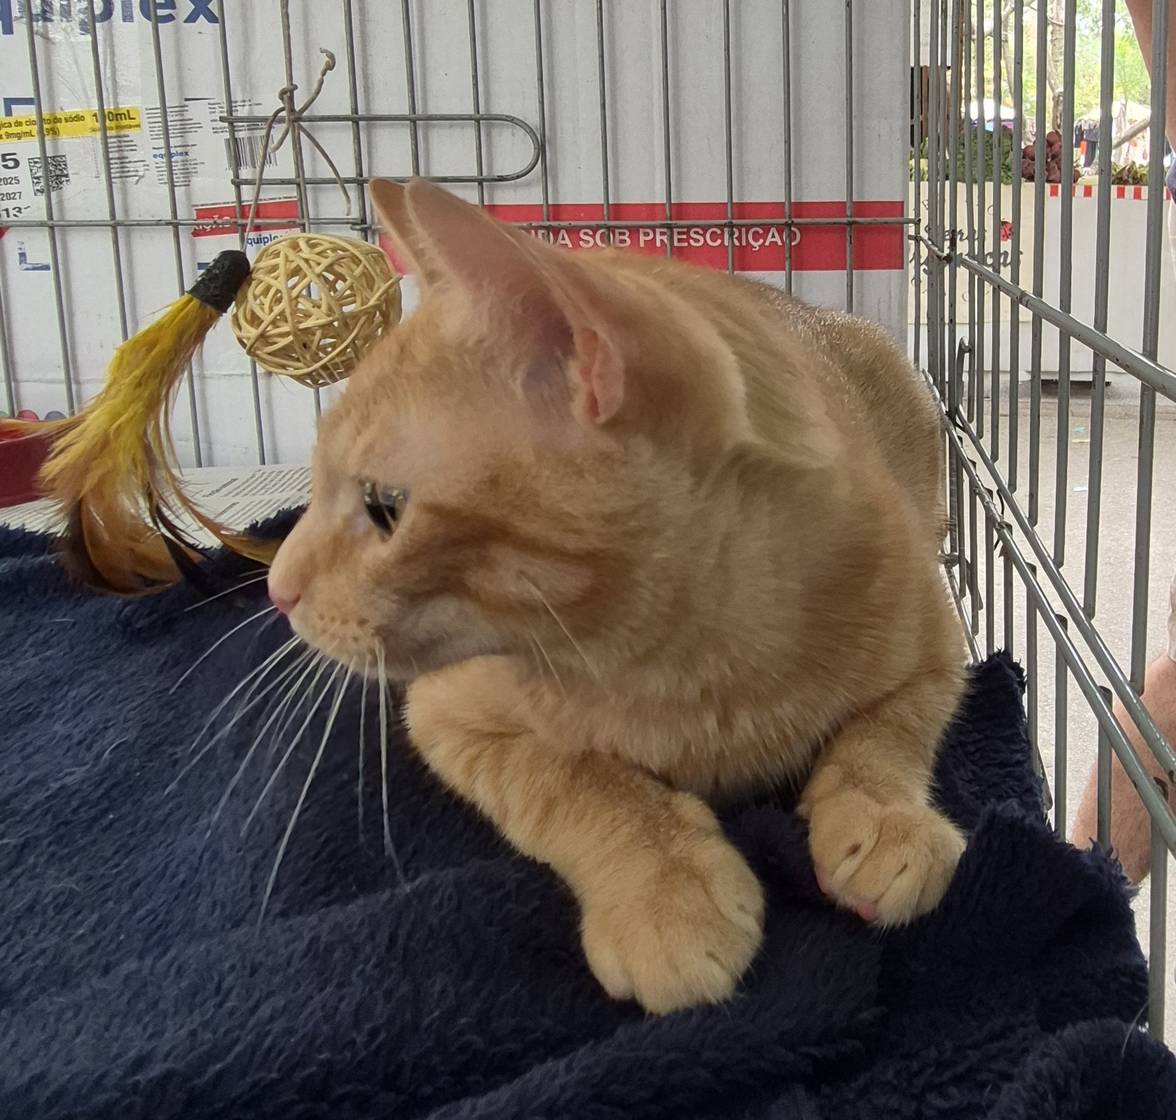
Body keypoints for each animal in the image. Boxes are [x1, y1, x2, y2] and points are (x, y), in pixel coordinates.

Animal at [267, 178, 968, 1015]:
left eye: (383, 507)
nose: (276, 589)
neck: (686, 662)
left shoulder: (941, 644)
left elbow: (892, 728)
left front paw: (884, 813)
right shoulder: (447, 716)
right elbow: (572, 779)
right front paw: (663, 883)